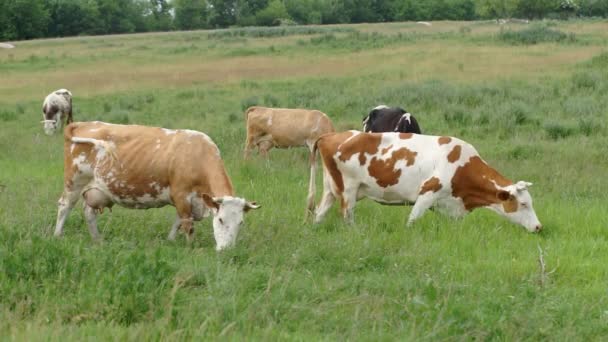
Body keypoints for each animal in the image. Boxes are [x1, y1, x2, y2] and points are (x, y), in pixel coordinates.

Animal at [54, 121, 258, 250]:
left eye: (240, 223)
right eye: (221, 220)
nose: (226, 250)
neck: (197, 154)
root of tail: (82, 123)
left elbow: (178, 222)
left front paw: (170, 240)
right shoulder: (181, 195)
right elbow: (187, 225)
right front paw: (190, 247)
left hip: (95, 189)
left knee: (89, 213)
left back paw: (98, 240)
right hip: (74, 182)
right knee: (65, 207)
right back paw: (57, 235)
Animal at [308, 131, 540, 232]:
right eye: (524, 204)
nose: (539, 227)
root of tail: (331, 135)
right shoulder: (428, 193)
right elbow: (412, 221)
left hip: (331, 189)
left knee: (319, 213)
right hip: (348, 190)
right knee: (347, 216)